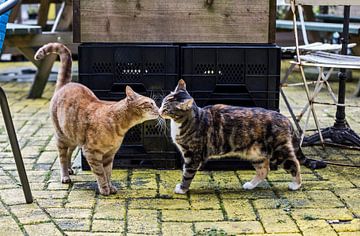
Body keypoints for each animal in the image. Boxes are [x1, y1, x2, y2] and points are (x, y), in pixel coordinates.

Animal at [35, 42, 159, 195]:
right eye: (150, 103)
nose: (159, 109)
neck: (119, 124)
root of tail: (66, 84)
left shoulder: (109, 155)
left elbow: (108, 172)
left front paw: (110, 187)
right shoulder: (91, 152)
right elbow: (100, 173)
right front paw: (104, 188)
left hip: (73, 138)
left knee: (69, 153)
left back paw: (70, 169)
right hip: (62, 137)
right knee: (62, 157)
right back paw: (65, 175)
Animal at [159, 79, 302, 194]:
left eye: (166, 109)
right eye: (162, 103)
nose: (159, 112)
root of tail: (285, 118)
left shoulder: (193, 155)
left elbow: (187, 173)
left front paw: (182, 188)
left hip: (278, 150)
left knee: (294, 163)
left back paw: (296, 184)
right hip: (255, 153)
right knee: (264, 170)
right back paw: (251, 185)